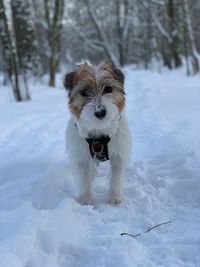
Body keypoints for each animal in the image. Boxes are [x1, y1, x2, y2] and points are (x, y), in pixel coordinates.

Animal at [63, 61, 131, 206]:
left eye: (108, 89)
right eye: (84, 92)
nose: (100, 112)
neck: (99, 131)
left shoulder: (119, 156)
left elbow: (116, 177)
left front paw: (115, 197)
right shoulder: (81, 157)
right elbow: (84, 179)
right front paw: (85, 200)